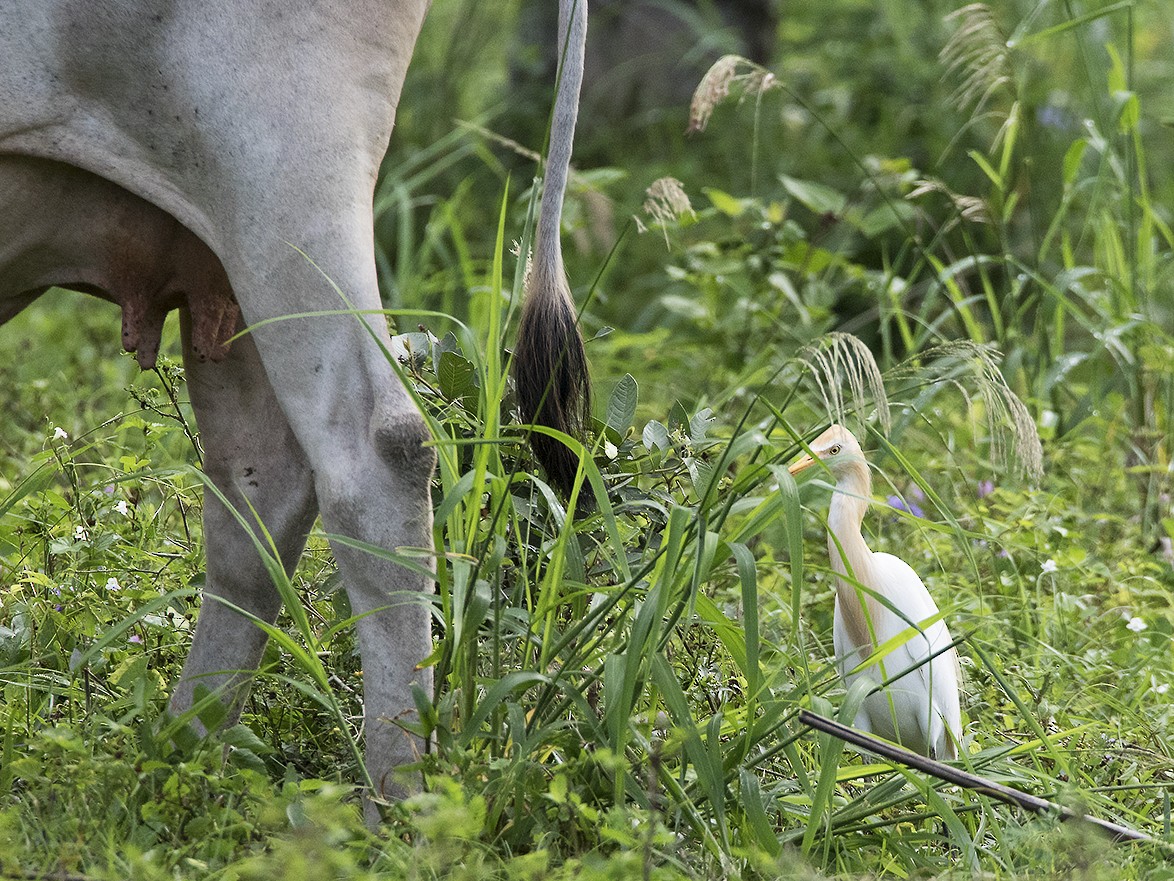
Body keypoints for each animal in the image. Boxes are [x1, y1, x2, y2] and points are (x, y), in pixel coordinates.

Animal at [0, 0, 587, 812]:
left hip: (283, 174)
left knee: (377, 458)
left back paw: (394, 804)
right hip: (223, 255)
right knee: (260, 491)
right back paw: (181, 759)